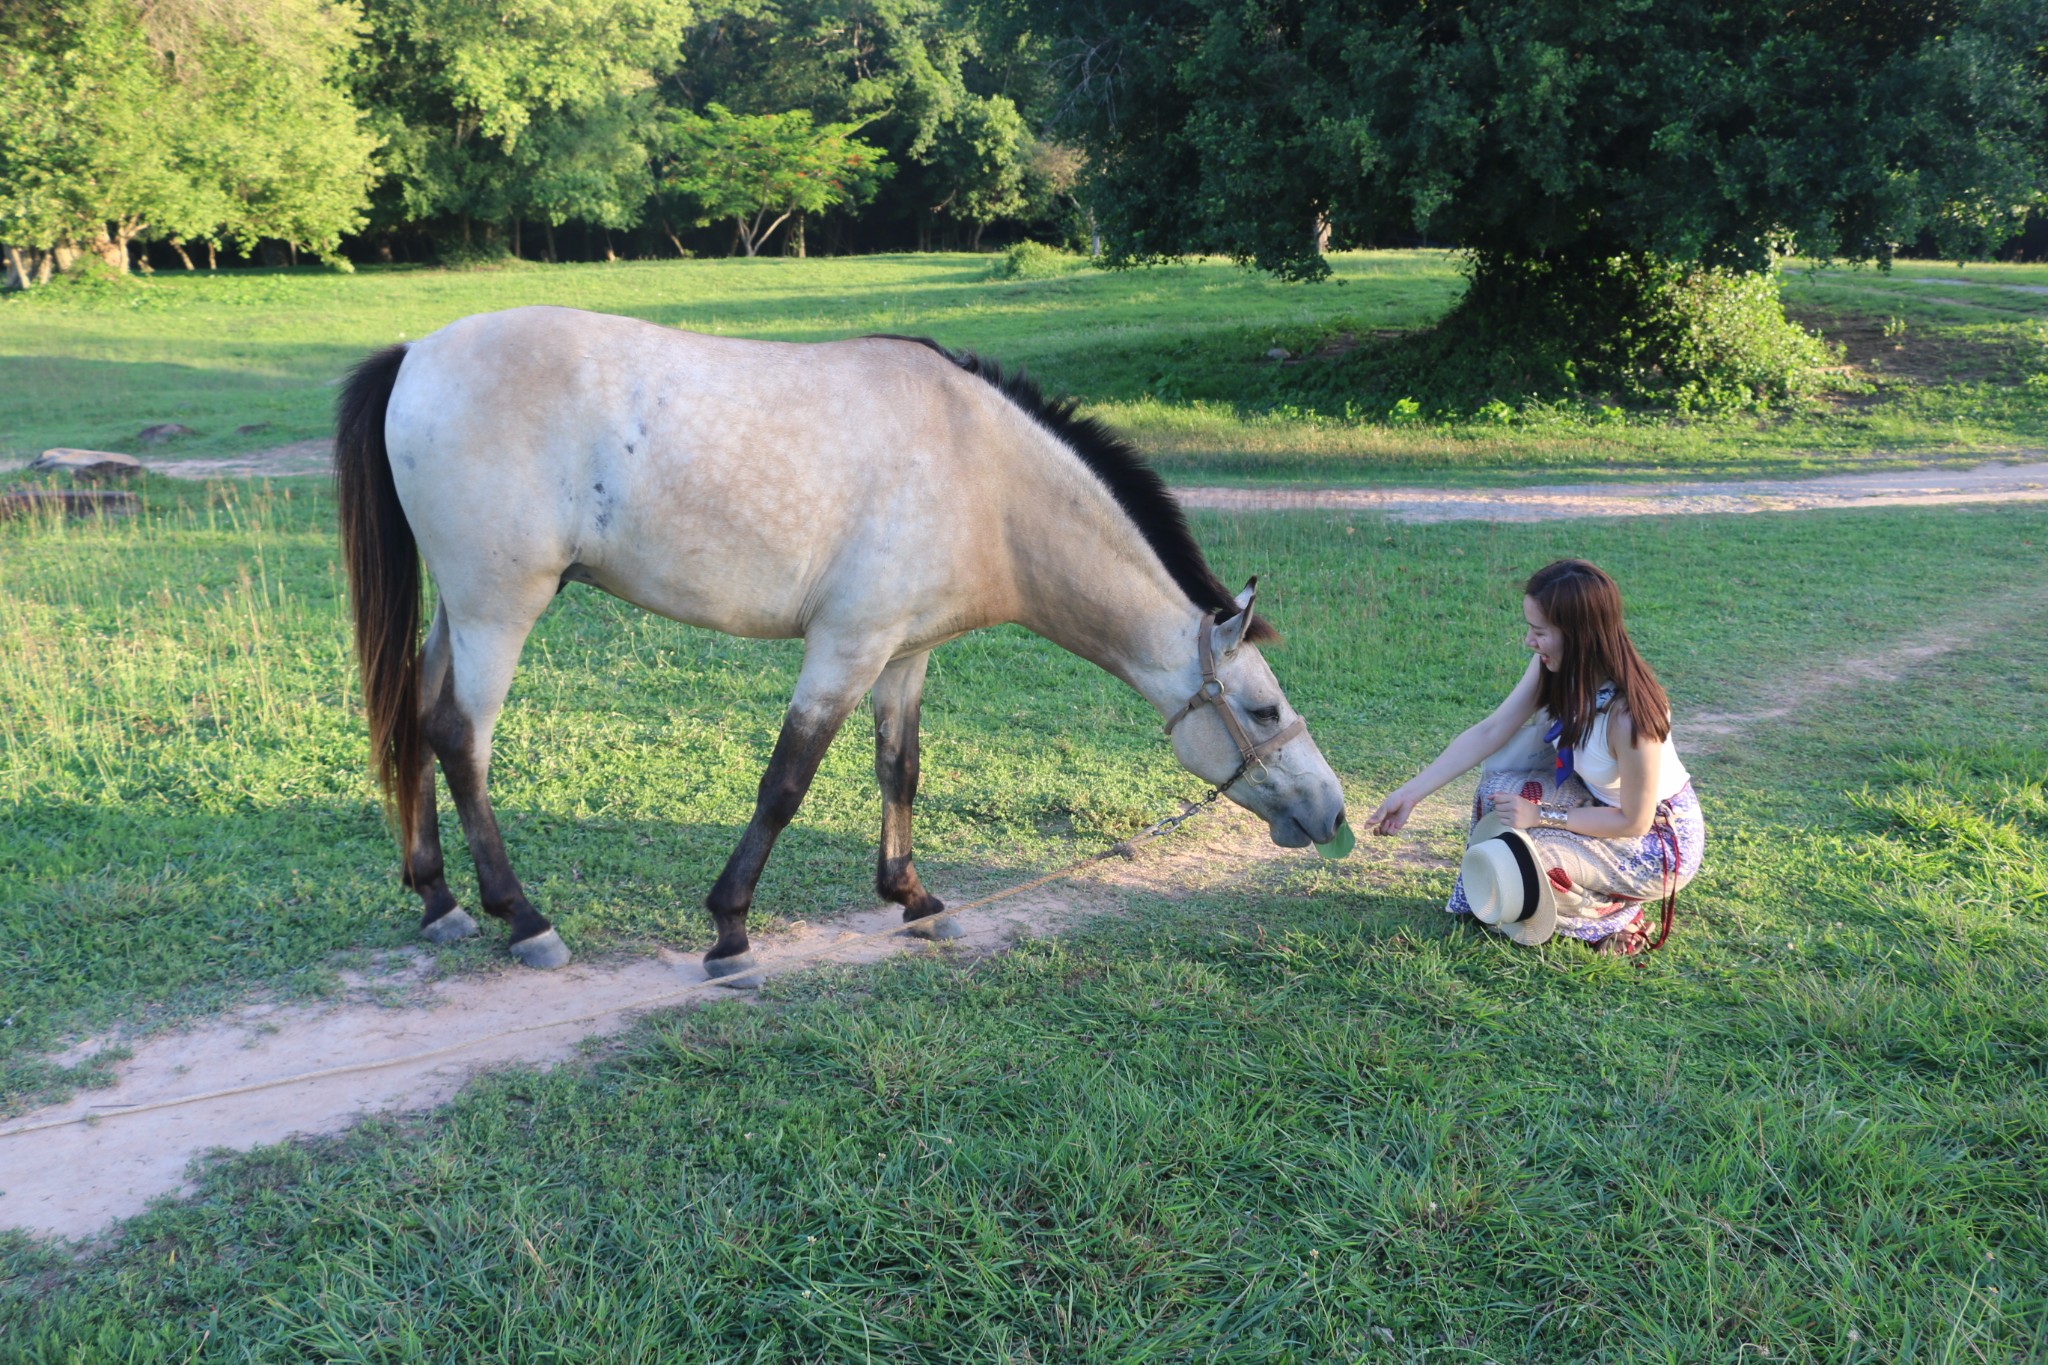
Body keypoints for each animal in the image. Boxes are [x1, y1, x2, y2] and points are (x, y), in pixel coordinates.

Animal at [335, 304, 1351, 978]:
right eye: (1264, 708)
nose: (1332, 812)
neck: (983, 475)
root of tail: (417, 354)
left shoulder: (903, 652)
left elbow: (899, 770)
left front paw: (915, 900)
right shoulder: (847, 647)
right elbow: (786, 781)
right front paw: (730, 929)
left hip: (458, 612)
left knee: (419, 717)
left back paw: (439, 900)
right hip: (497, 611)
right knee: (462, 738)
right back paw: (523, 918)